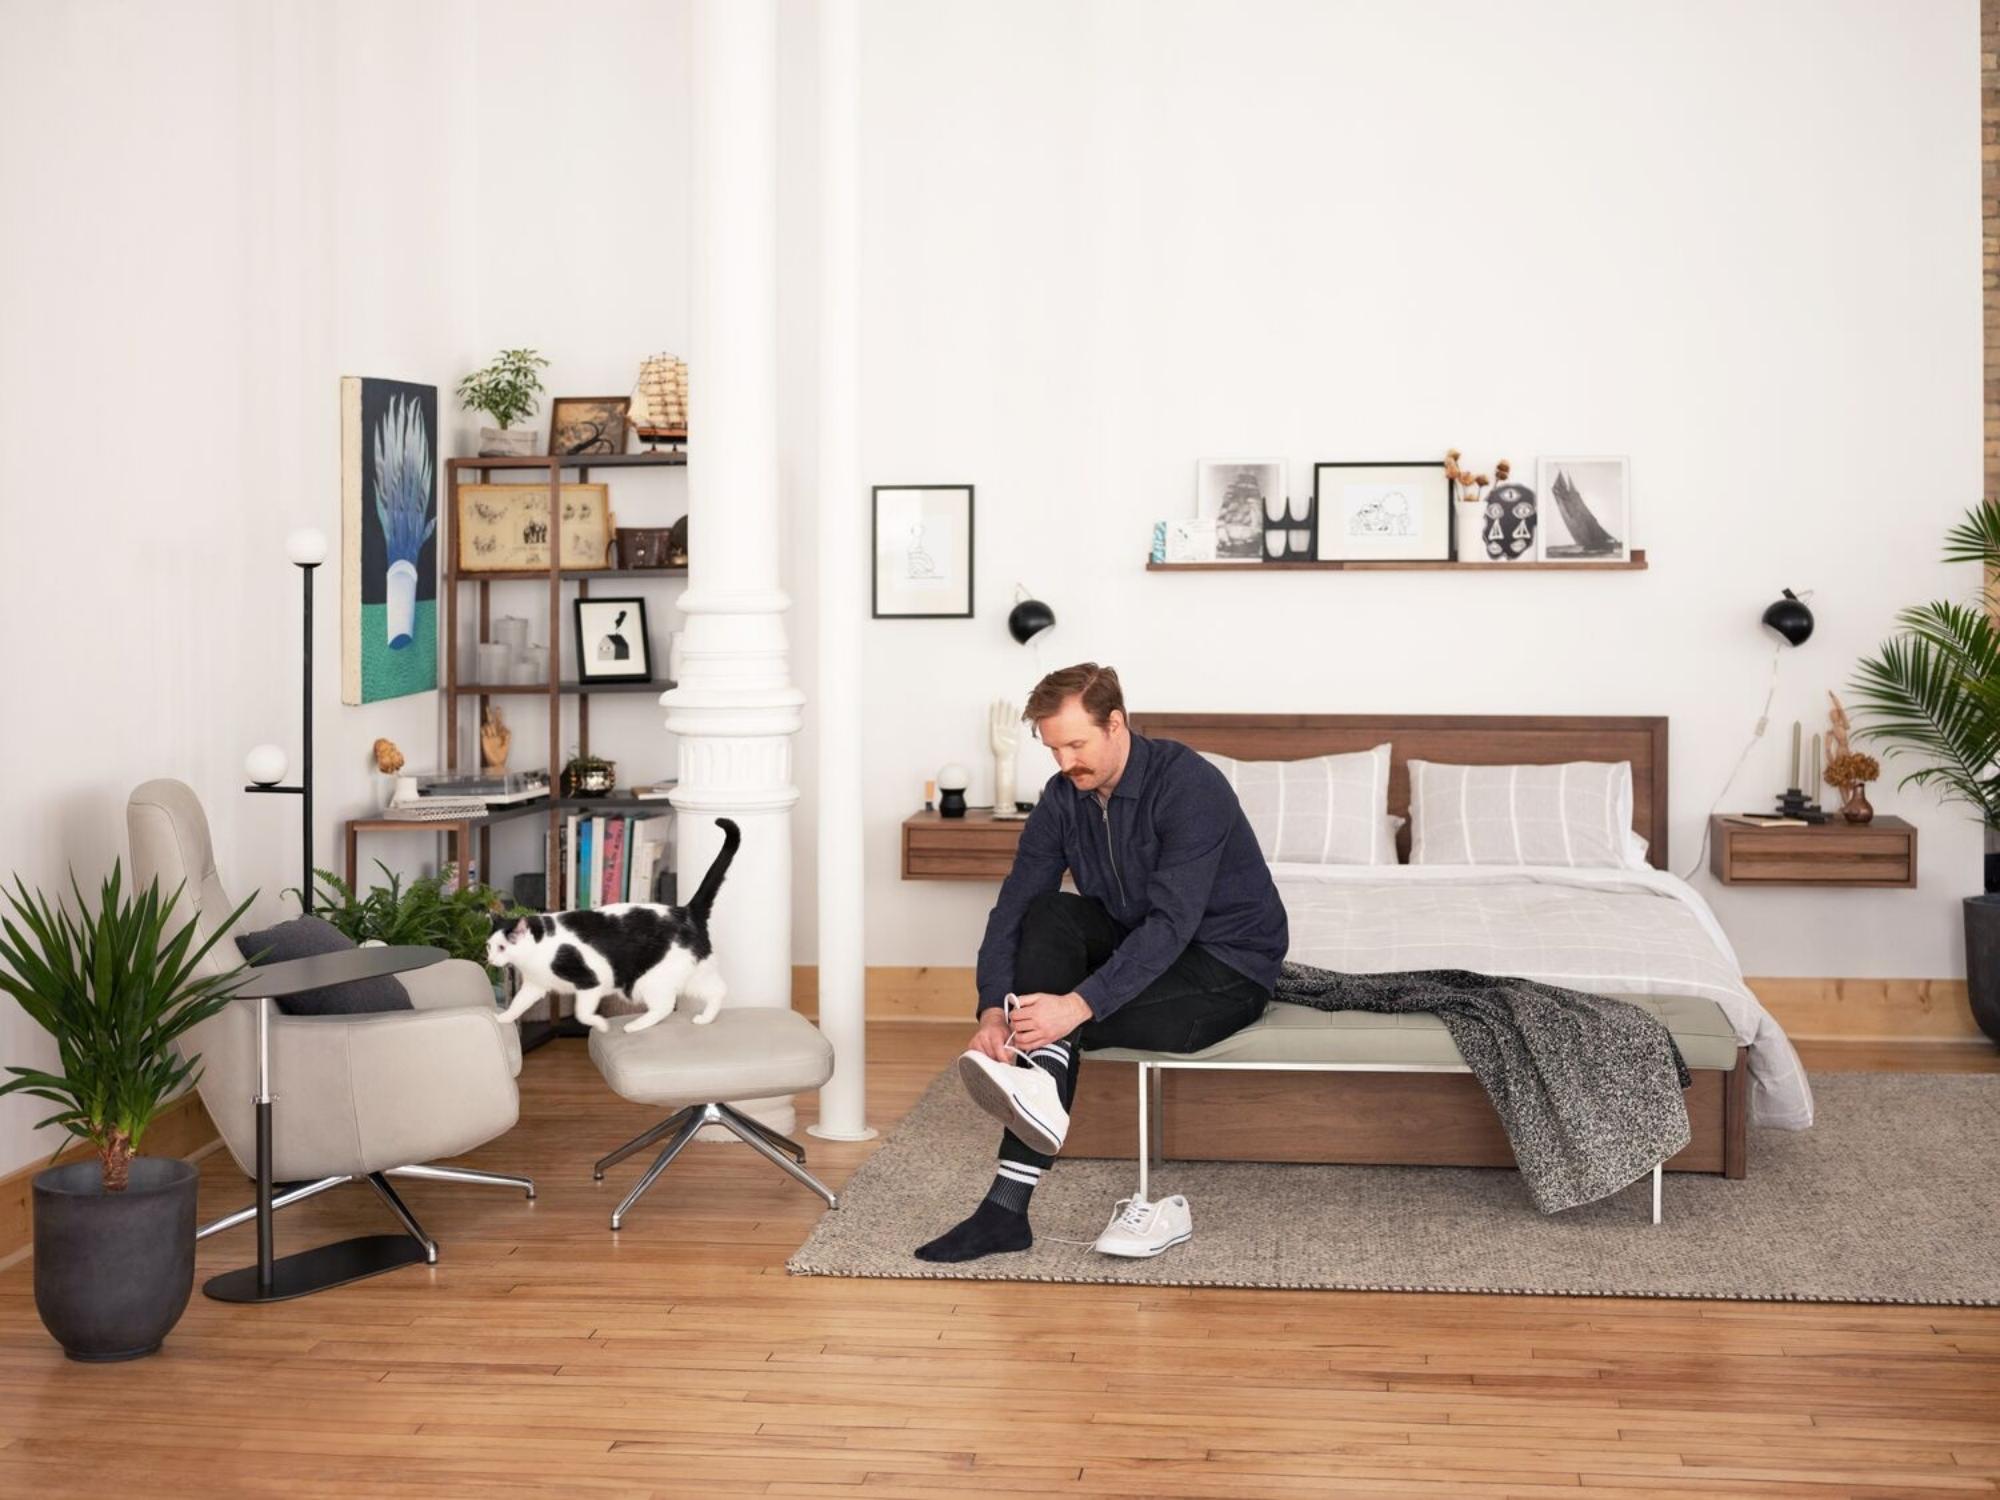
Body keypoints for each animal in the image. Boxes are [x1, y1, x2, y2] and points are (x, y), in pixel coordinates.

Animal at [486, 824, 744, 1032]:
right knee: (718, 990)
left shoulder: (590, 982)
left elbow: (583, 1013)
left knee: (665, 1006)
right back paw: (705, 1018)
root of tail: (686, 911)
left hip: (648, 980)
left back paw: (634, 1026)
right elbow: (517, 1004)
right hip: (694, 973)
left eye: (502, 947)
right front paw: (502, 1019)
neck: (538, 950)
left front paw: (601, 1025)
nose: (490, 960)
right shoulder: (534, 986)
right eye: (488, 946)